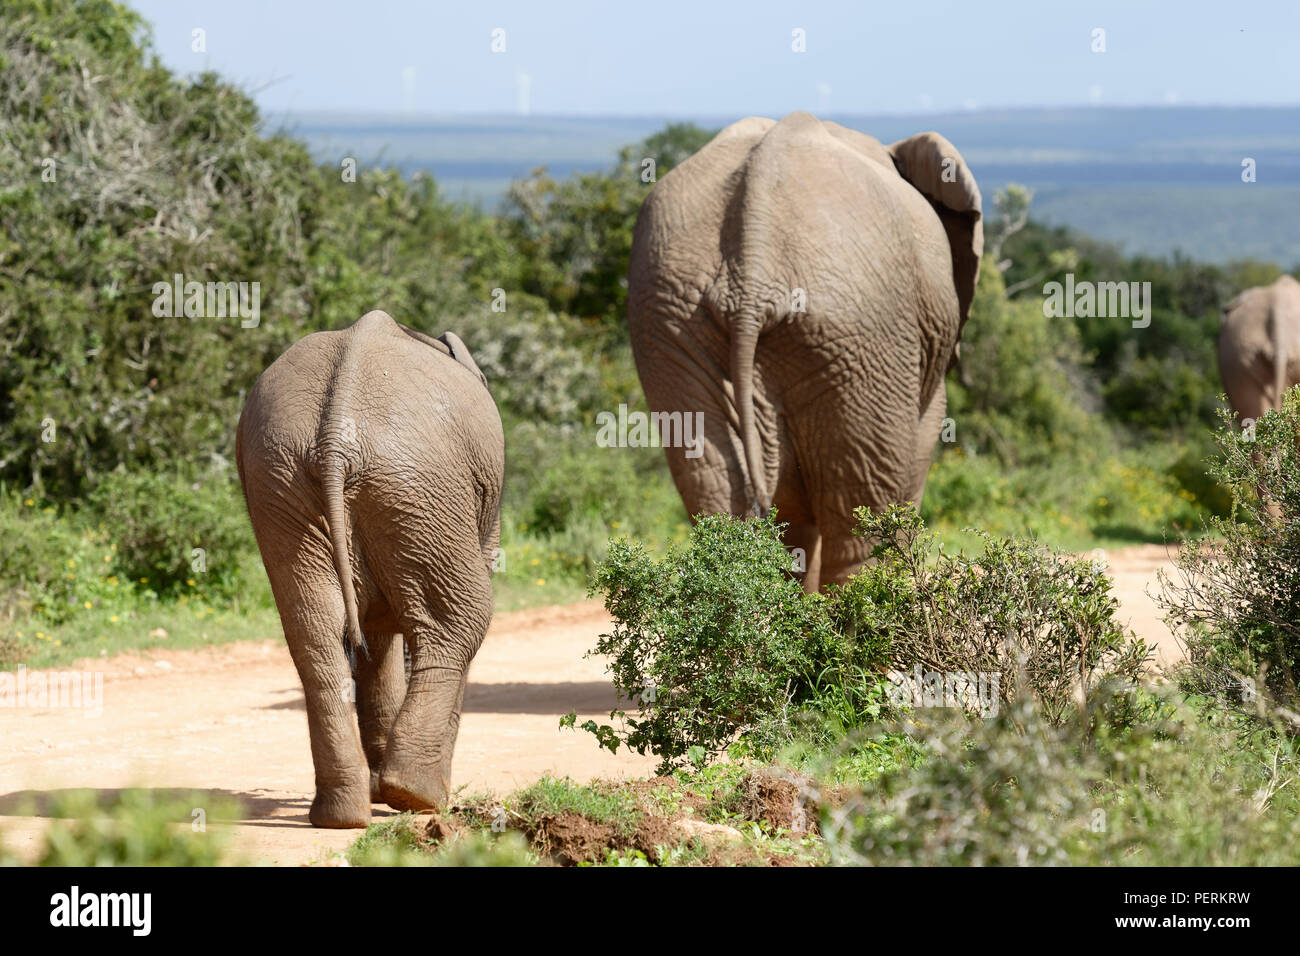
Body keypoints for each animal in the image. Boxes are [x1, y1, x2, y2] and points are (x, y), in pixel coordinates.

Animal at [233, 310, 501, 827]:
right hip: (419, 486)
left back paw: (341, 815)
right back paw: (418, 797)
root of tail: (336, 438)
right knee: (461, 620)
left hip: (283, 485)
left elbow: (372, 636)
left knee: (314, 633)